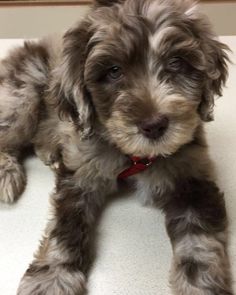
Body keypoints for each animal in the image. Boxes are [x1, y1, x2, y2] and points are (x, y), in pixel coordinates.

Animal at [0, 0, 233, 295]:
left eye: (177, 63)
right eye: (113, 71)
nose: (154, 126)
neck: (134, 156)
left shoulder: (193, 177)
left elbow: (200, 246)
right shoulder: (80, 172)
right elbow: (65, 227)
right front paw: (51, 278)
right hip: (22, 96)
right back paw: (7, 175)